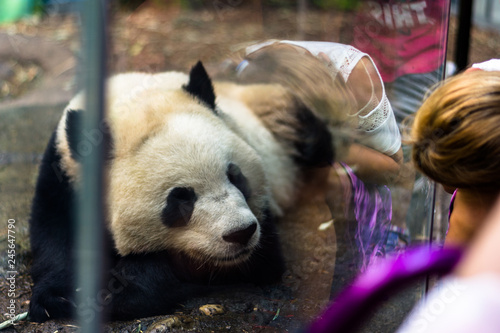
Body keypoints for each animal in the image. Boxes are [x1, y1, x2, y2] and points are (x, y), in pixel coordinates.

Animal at [27, 61, 336, 320]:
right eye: (181, 198)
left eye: (236, 177)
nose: (241, 233)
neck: (136, 97)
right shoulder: (63, 173)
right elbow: (55, 236)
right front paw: (59, 298)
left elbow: (259, 263)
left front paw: (118, 290)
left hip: (276, 113)